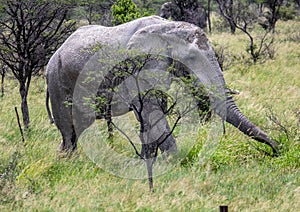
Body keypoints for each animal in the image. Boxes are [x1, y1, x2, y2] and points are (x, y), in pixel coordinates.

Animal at [46, 15, 278, 190]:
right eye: (192, 59)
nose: (276, 149)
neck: (167, 28)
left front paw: (146, 162)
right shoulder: (140, 67)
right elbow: (153, 114)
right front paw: (173, 164)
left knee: (79, 129)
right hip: (57, 82)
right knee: (70, 130)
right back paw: (70, 163)